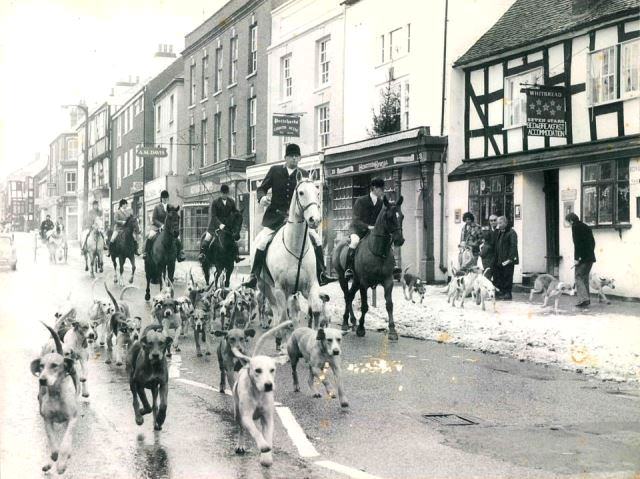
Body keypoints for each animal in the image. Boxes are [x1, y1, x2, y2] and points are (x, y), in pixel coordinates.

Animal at [258, 172, 322, 352]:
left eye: (317, 191)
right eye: (301, 192)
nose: (315, 220)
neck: (295, 247)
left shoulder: (310, 286)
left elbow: (315, 310)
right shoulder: (280, 288)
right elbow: (284, 317)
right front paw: (284, 341)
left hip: (292, 292)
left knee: (291, 313)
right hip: (264, 285)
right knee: (277, 311)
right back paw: (278, 336)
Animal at [330, 198, 404, 342]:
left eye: (402, 216)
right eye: (389, 217)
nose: (400, 240)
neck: (378, 252)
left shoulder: (388, 281)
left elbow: (389, 304)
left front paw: (392, 331)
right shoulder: (364, 283)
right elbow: (364, 306)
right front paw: (361, 329)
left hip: (356, 281)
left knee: (350, 296)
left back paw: (352, 321)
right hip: (343, 278)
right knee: (347, 296)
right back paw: (346, 323)